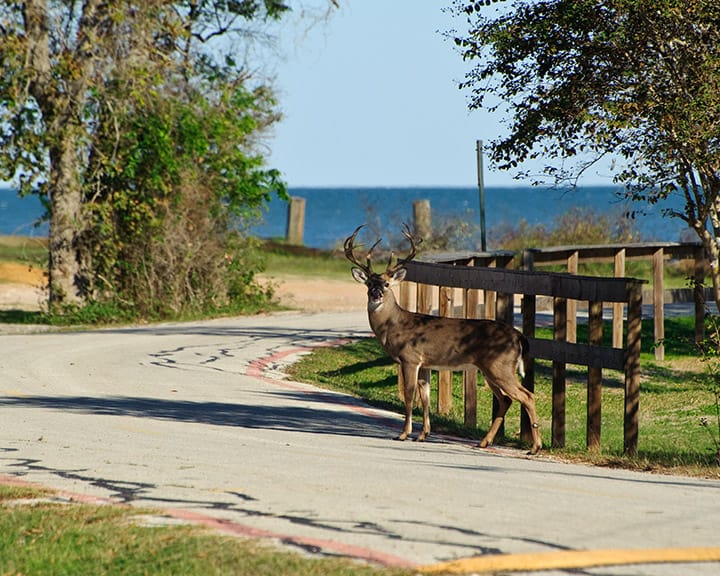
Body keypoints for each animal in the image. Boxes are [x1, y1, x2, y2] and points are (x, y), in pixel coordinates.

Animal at [344, 224, 542, 454]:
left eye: (385, 284)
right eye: (368, 283)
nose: (375, 294)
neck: (394, 325)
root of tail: (519, 336)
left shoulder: (410, 358)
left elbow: (410, 395)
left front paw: (404, 434)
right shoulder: (426, 364)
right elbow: (425, 397)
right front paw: (423, 434)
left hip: (500, 366)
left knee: (527, 396)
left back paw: (535, 447)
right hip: (490, 369)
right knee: (506, 399)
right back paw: (484, 441)